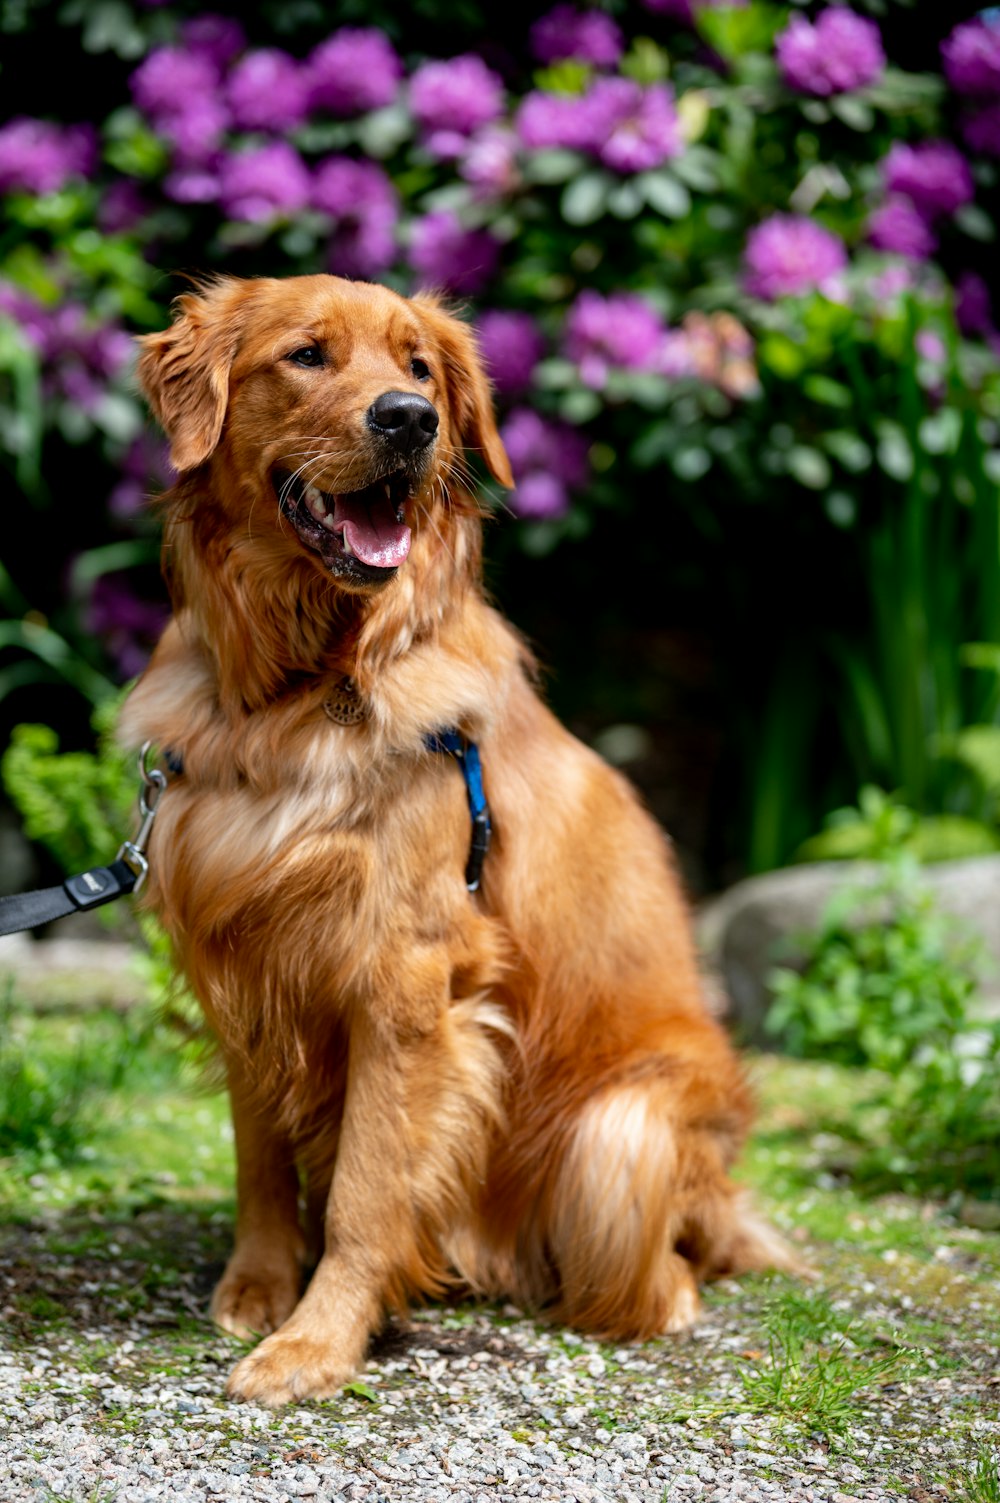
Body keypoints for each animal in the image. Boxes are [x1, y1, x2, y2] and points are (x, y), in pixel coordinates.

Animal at [117, 273, 793, 1406]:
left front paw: (314, 1341)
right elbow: (259, 1160)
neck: (300, 691)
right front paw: (258, 1286)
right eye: (307, 355)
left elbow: (365, 1187)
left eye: (420, 368)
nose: (408, 420)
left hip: (618, 1134)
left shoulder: (405, 976)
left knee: (661, 1269)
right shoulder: (244, 952)